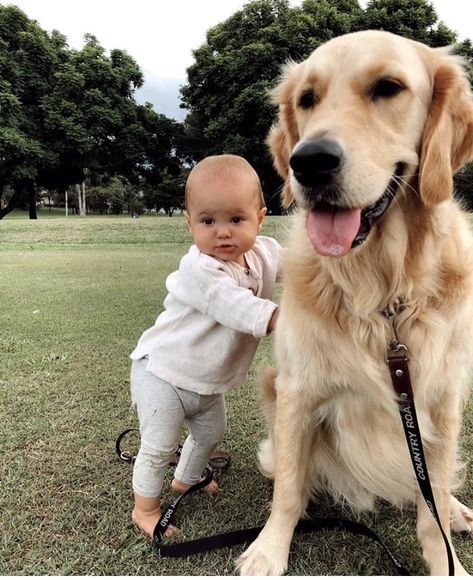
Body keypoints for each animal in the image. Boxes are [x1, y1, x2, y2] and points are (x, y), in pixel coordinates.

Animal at [236, 29, 473, 572]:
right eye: (307, 99)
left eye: (388, 88)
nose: (308, 162)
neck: (382, 293)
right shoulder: (298, 389)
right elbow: (287, 491)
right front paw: (268, 550)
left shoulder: (442, 398)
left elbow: (432, 503)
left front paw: (448, 562)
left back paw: (455, 508)